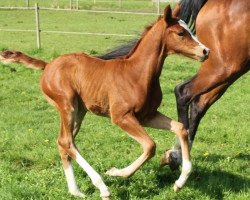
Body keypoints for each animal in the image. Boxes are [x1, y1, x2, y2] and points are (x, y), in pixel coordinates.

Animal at [0, 5, 209, 199]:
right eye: (181, 33)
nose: (206, 51)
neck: (137, 73)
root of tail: (48, 65)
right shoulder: (121, 117)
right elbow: (150, 146)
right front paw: (116, 172)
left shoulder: (147, 115)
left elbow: (180, 128)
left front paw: (179, 183)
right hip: (67, 106)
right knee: (66, 141)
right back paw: (102, 187)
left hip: (79, 111)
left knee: (64, 143)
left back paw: (75, 190)